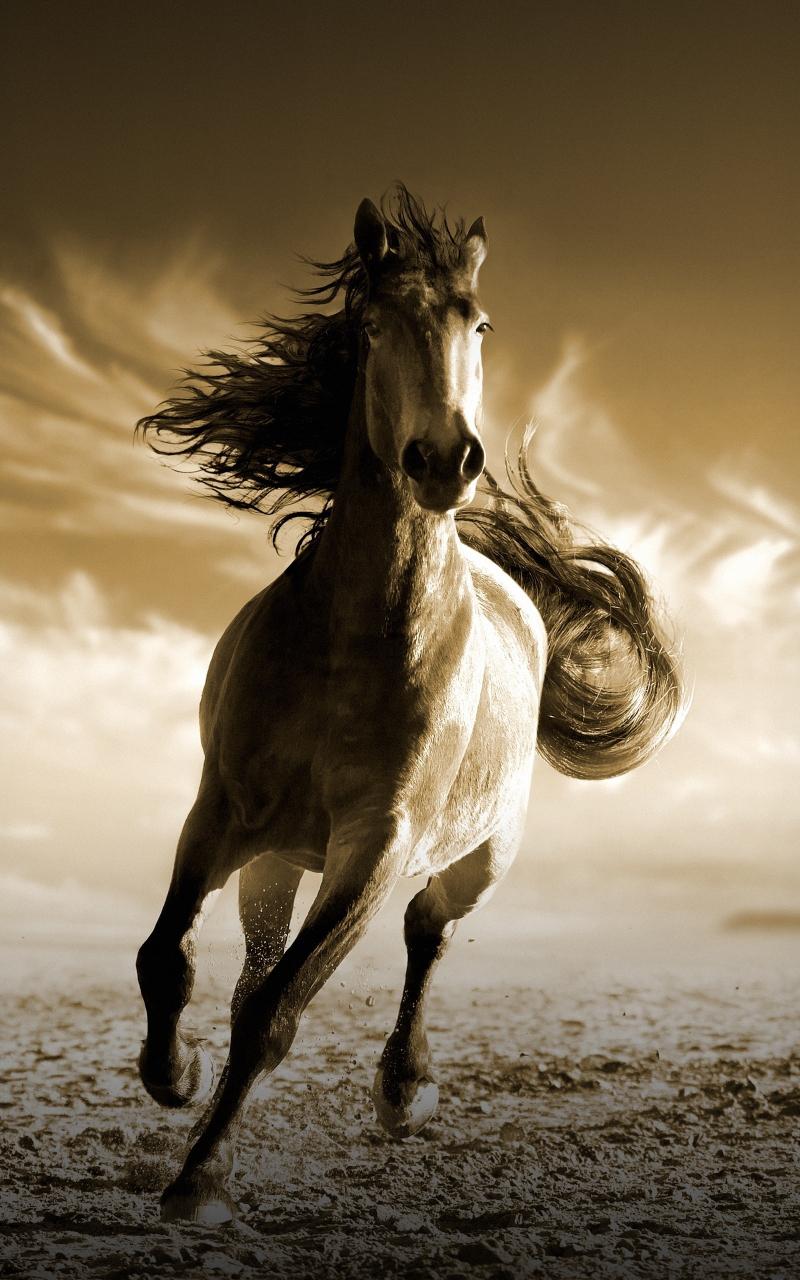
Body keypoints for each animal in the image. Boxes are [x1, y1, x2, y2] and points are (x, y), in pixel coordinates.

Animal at [135, 185, 683, 1224]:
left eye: (481, 323)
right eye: (372, 322)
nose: (444, 458)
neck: (353, 641)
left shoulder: (376, 845)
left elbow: (278, 1012)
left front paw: (200, 1179)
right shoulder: (220, 810)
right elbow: (170, 959)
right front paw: (172, 1075)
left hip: (478, 856)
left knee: (428, 934)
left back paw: (405, 1088)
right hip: (279, 857)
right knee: (258, 952)